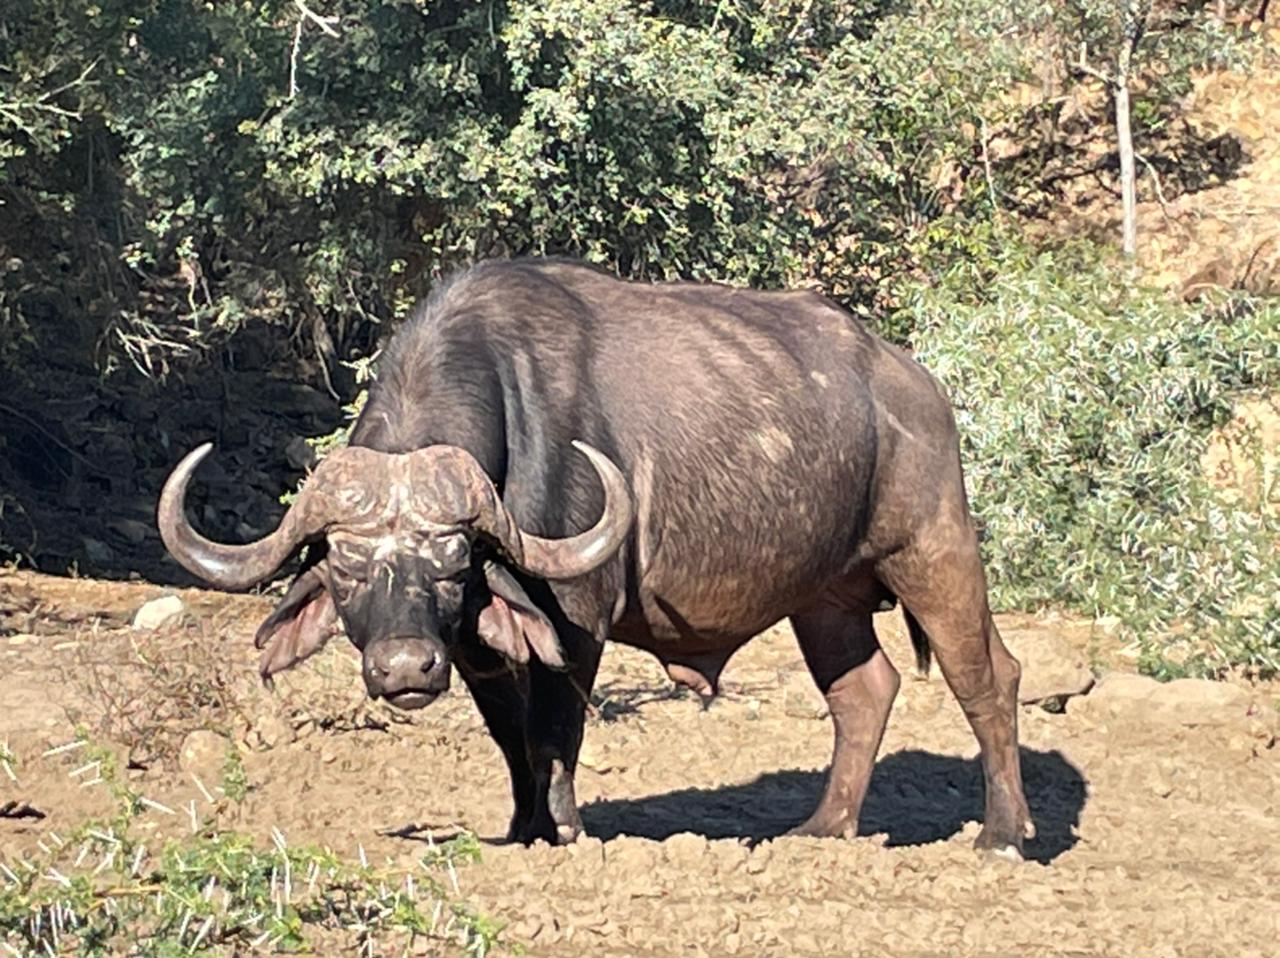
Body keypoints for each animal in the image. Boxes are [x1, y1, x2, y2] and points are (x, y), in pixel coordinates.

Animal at [160, 258, 1034, 855]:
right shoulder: (476, 649)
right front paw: (521, 831)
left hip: (935, 549)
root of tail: (917, 386)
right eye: (345, 563)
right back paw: (822, 828)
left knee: (988, 676)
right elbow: (511, 739)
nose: (406, 667)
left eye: (452, 560)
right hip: (825, 598)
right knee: (864, 690)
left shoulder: (576, 622)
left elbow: (554, 733)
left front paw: (567, 832)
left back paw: (1002, 833)